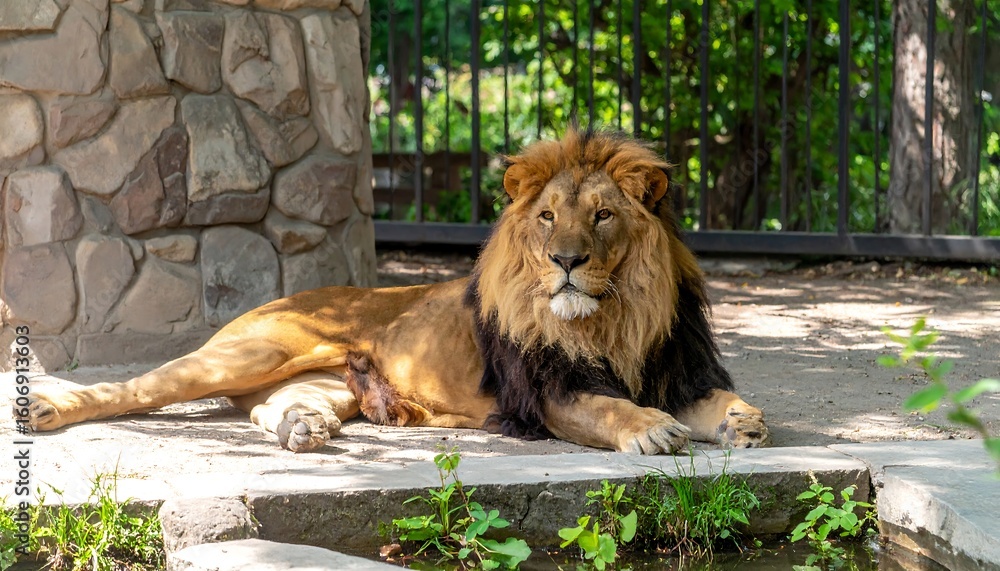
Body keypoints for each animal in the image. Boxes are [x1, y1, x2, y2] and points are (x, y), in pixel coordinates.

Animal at [23, 129, 768, 454]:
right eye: (549, 216)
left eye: (604, 215)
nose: (566, 259)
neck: (614, 317)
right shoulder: (545, 394)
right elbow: (608, 406)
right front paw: (648, 427)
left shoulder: (681, 369)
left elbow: (725, 403)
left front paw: (743, 421)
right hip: (249, 352)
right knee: (138, 385)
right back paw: (46, 407)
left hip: (328, 381)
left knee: (266, 406)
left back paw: (302, 427)